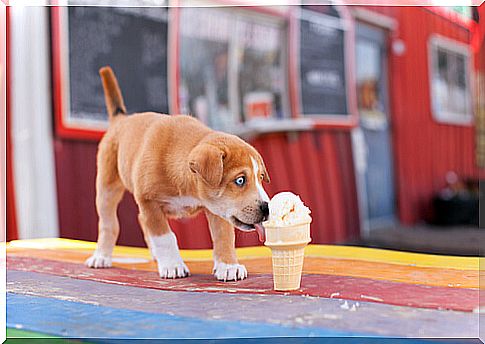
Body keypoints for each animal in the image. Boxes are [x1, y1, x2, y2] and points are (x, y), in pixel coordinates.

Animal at [85, 66, 270, 280]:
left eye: (260, 178)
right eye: (240, 180)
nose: (267, 208)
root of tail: (121, 119)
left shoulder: (218, 210)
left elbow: (224, 236)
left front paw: (228, 265)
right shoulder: (149, 203)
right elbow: (165, 237)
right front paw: (173, 265)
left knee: (140, 219)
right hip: (107, 189)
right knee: (109, 224)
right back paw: (101, 256)